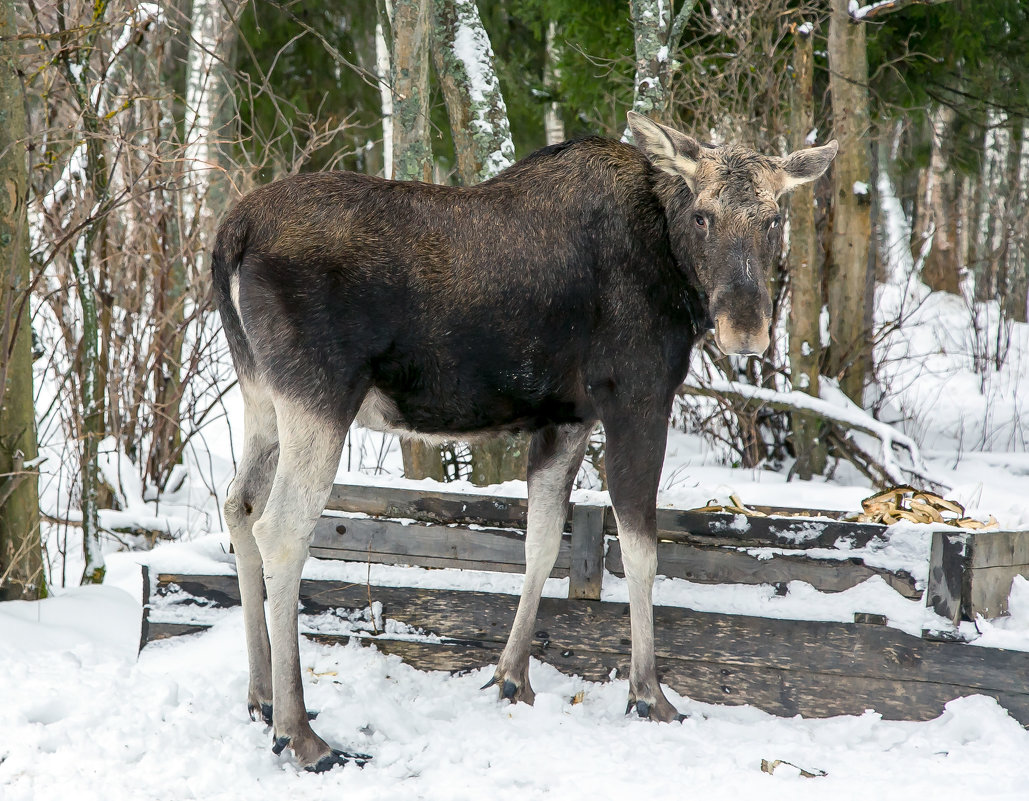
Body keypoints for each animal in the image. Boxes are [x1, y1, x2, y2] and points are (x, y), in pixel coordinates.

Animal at [213, 110, 831, 765]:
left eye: (773, 218)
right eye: (703, 215)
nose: (747, 327)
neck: (676, 274)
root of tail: (228, 236)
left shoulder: (566, 418)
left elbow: (541, 542)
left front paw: (512, 677)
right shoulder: (635, 396)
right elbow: (641, 550)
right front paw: (649, 694)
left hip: (261, 394)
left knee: (238, 502)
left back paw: (260, 697)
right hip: (319, 394)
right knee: (282, 528)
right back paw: (300, 732)